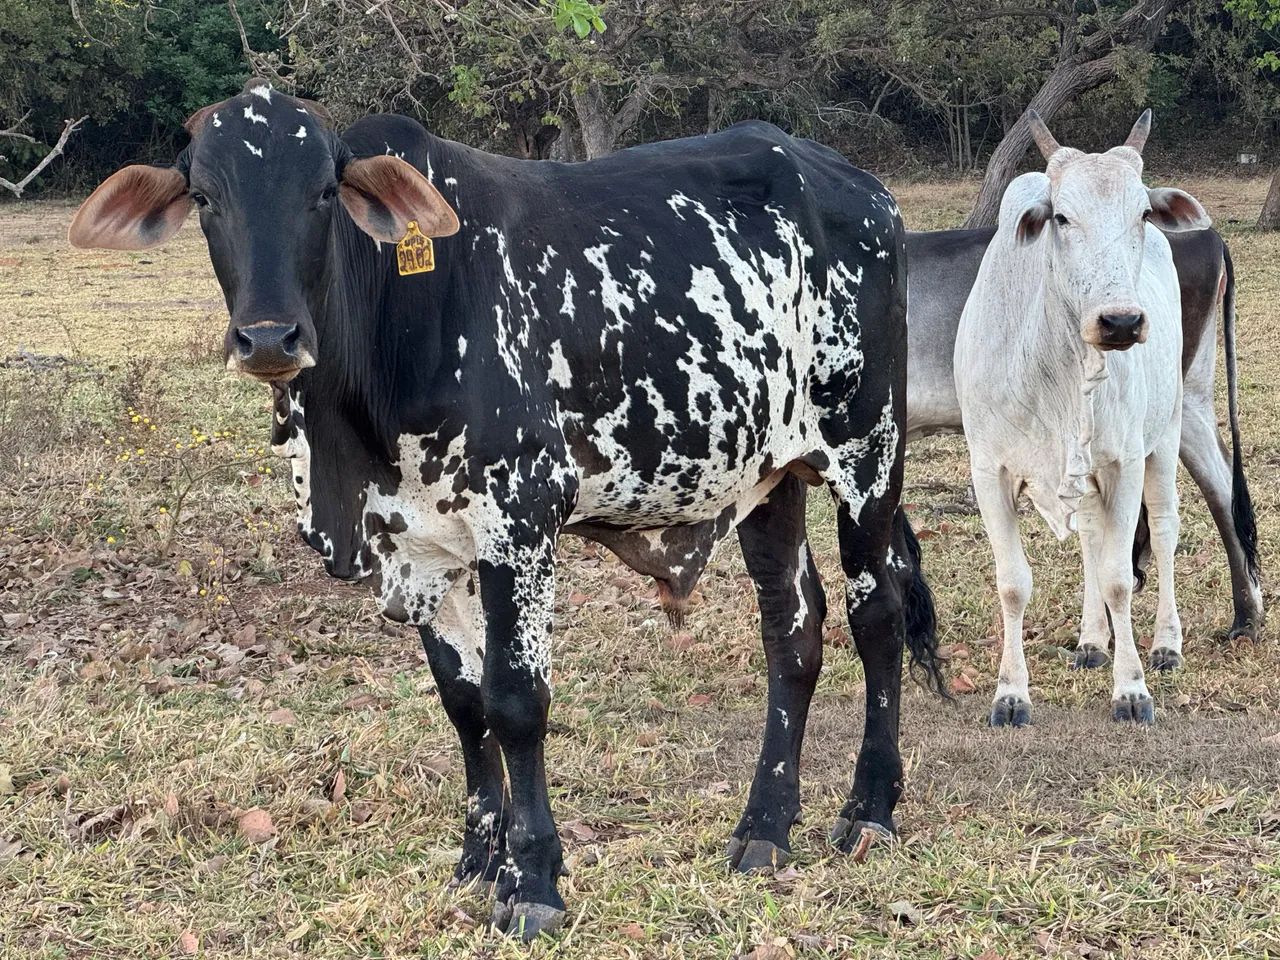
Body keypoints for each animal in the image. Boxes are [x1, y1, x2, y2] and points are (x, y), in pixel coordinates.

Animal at [68, 81, 941, 940]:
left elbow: (517, 703)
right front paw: (479, 860)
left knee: (876, 617)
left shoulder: (519, 526)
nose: (269, 338)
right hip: (766, 475)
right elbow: (464, 703)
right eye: (205, 198)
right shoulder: (415, 546)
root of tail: (855, 184)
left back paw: (868, 810)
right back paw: (765, 825)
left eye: (322, 193)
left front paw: (535, 879)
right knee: (792, 632)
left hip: (868, 451)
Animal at [955, 110, 1211, 728]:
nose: (1120, 321)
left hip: (1164, 437)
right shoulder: (989, 471)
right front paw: (1011, 694)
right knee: (1093, 539)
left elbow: (1121, 577)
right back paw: (1093, 640)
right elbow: (1014, 585)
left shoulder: (1123, 463)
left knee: (1163, 531)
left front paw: (1132, 689)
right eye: (1062, 217)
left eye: (1142, 212)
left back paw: (1166, 643)